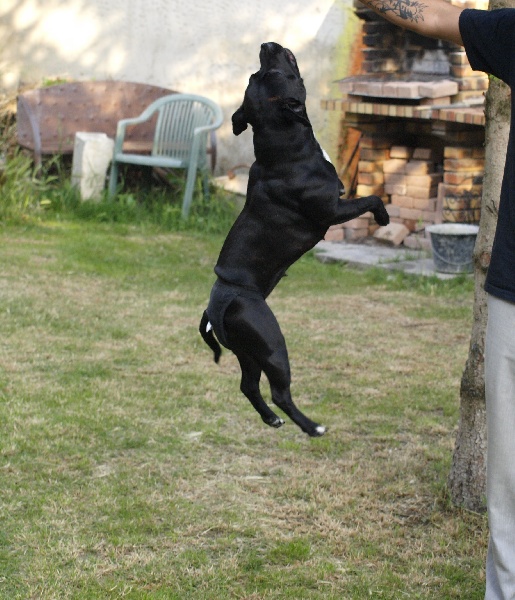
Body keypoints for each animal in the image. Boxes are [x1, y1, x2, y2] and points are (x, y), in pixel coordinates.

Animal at [200, 42, 389, 436]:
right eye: (273, 74)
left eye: (258, 74)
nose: (266, 45)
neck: (284, 146)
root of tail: (217, 305)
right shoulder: (333, 211)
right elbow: (372, 198)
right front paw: (383, 217)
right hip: (272, 346)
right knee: (279, 391)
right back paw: (312, 426)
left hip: (248, 352)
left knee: (248, 386)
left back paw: (272, 420)